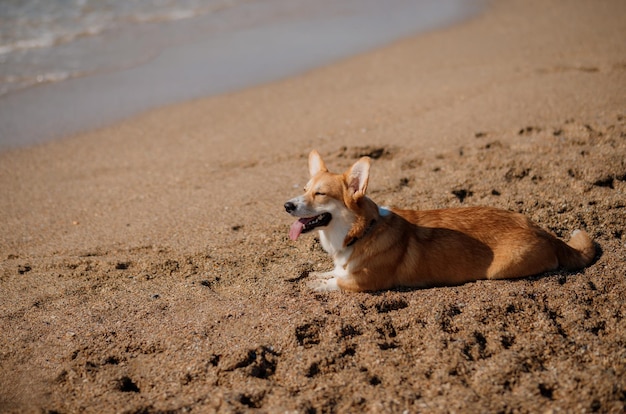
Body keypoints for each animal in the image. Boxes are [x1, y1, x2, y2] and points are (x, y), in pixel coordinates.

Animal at [282, 150, 596, 292]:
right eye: (304, 189)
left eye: (320, 194)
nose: (287, 205)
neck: (361, 230)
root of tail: (546, 233)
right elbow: (331, 272)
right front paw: (315, 275)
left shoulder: (364, 283)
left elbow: (337, 282)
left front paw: (316, 286)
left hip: (503, 270)